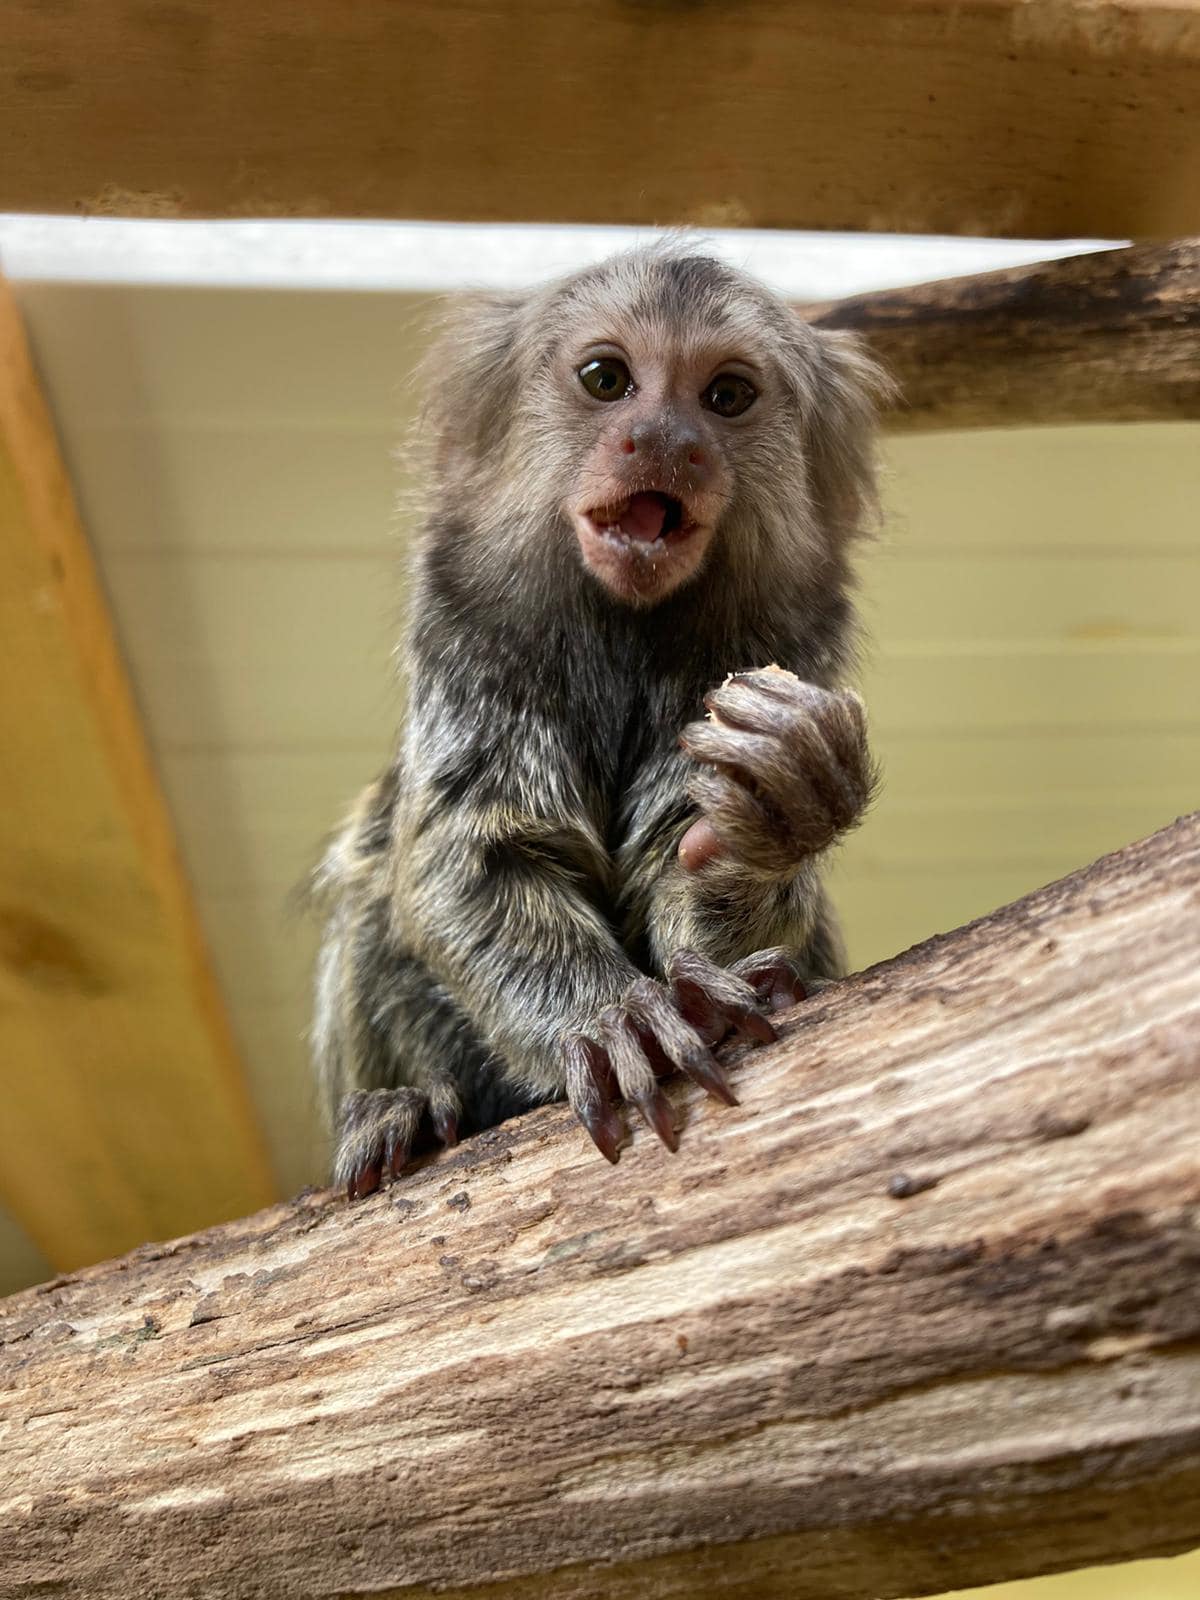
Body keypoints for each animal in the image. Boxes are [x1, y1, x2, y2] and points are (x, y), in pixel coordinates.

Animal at [310, 243, 883, 1199]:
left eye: (726, 396)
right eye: (607, 380)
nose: (666, 441)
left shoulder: (786, 642)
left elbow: (703, 877)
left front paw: (782, 806)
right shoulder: (469, 633)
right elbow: (469, 856)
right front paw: (617, 1017)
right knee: (370, 883)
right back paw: (403, 1110)